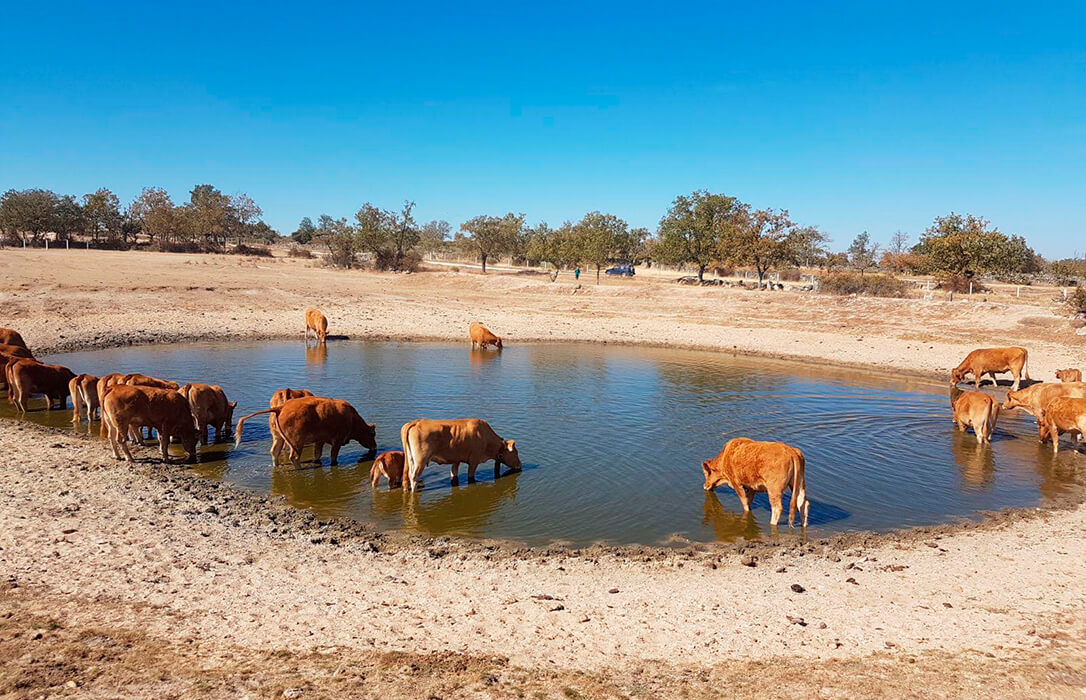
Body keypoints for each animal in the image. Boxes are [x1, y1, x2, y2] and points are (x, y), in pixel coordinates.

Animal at [234, 395, 377, 466]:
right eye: (372, 434)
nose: (375, 447)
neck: (351, 417)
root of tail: (281, 407)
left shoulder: (320, 440)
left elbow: (317, 454)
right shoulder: (336, 441)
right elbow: (333, 457)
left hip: (278, 438)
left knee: (274, 452)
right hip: (296, 442)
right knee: (294, 457)